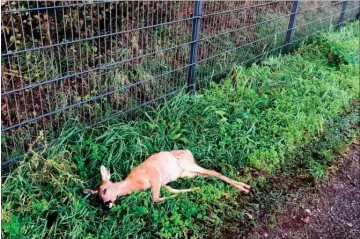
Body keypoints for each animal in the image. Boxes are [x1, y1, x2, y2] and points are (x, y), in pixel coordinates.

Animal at [83, 149, 253, 207]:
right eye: (98, 197)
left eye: (104, 190)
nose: (106, 204)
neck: (133, 183)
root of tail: (189, 152)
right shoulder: (162, 183)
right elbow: (171, 190)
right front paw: (195, 190)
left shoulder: (155, 175)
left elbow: (156, 198)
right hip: (187, 172)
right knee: (207, 175)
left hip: (187, 165)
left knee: (213, 171)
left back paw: (245, 188)